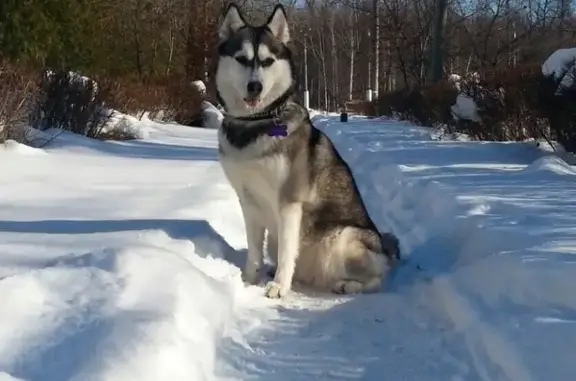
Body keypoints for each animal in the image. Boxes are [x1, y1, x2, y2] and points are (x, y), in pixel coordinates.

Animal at [214, 4, 398, 298]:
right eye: (242, 59)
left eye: (267, 61)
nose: (255, 86)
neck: (256, 123)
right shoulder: (248, 199)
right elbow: (254, 249)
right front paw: (248, 279)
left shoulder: (289, 203)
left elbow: (287, 250)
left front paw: (279, 286)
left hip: (343, 238)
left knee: (377, 279)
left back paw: (347, 285)